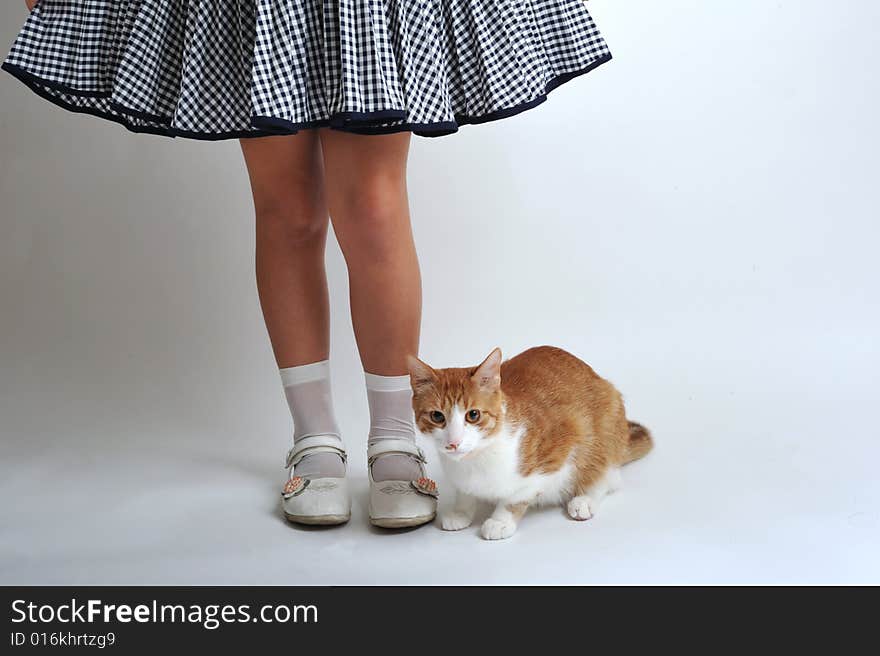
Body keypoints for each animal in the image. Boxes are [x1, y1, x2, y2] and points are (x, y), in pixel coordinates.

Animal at [410, 346, 648, 540]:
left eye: (473, 415)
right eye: (437, 416)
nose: (454, 442)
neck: (476, 459)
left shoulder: (558, 452)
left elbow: (519, 493)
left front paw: (501, 520)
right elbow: (464, 490)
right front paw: (461, 510)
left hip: (606, 424)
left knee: (607, 474)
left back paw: (585, 499)